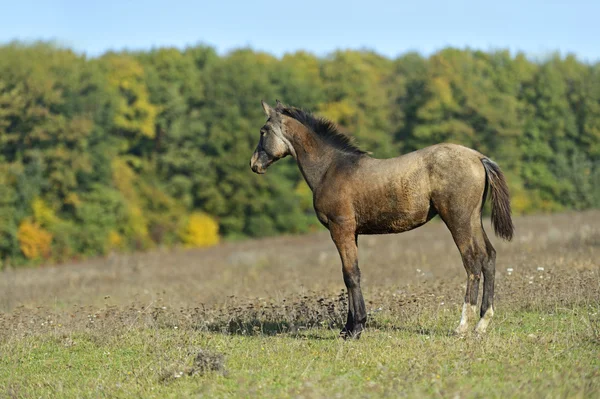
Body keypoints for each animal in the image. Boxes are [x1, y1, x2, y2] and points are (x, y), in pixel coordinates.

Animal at [251, 101, 512, 340]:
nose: (254, 164)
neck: (330, 168)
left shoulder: (340, 229)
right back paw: (482, 323)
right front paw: (348, 328)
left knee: (472, 262)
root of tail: (479, 157)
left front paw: (356, 329)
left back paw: (463, 325)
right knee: (489, 257)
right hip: (474, 219)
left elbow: (350, 275)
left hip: (458, 219)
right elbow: (351, 274)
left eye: (263, 131)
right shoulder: (352, 233)